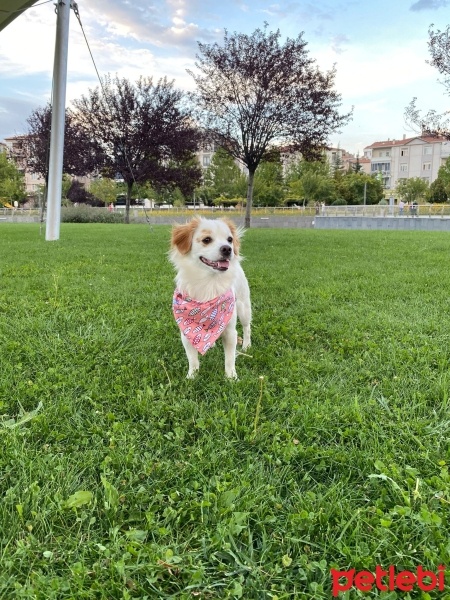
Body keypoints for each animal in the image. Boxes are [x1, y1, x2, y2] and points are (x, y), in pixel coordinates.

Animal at [170, 217, 251, 380]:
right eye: (206, 240)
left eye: (229, 239)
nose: (228, 249)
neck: (208, 283)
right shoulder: (186, 334)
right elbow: (192, 359)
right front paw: (192, 376)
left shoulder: (231, 332)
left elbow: (230, 359)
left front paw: (231, 377)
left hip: (243, 307)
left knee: (247, 327)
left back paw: (246, 345)